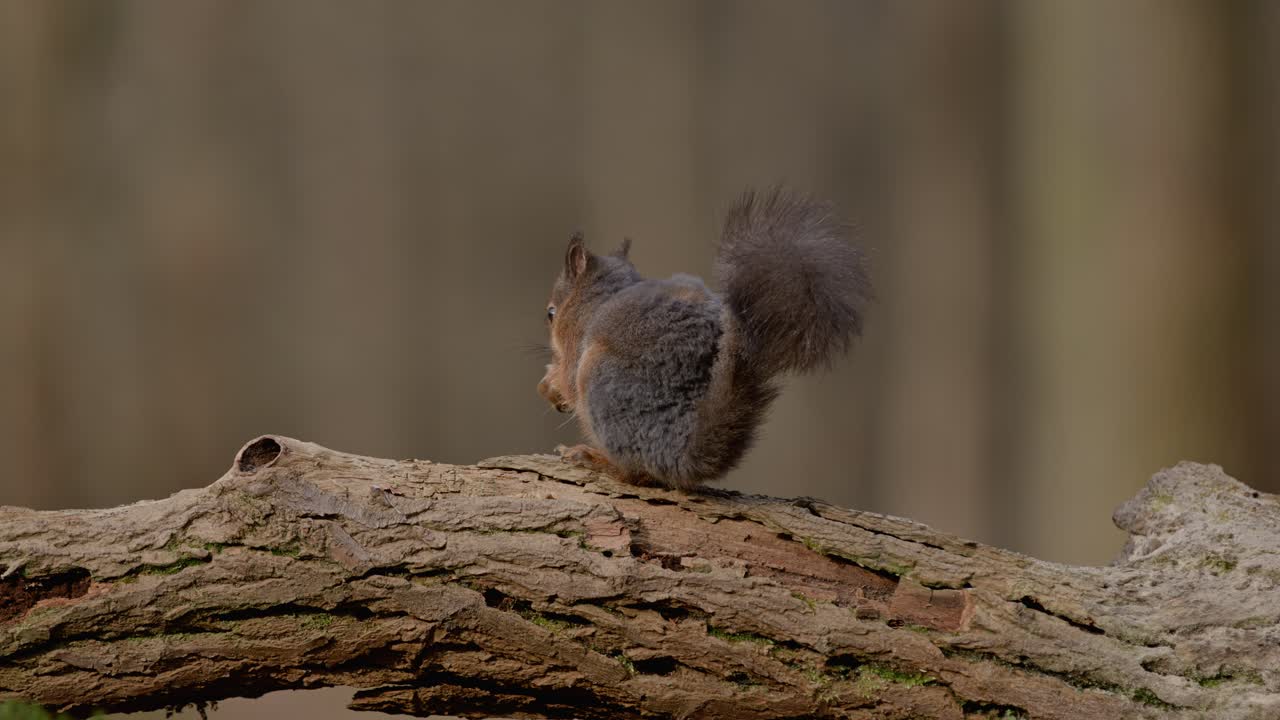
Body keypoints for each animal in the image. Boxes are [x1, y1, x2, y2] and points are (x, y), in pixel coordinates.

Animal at [537, 187, 871, 490]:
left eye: (551, 313)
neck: (598, 297)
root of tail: (680, 454)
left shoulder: (576, 340)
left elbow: (568, 380)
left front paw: (551, 383)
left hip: (600, 378)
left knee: (634, 472)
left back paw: (594, 459)